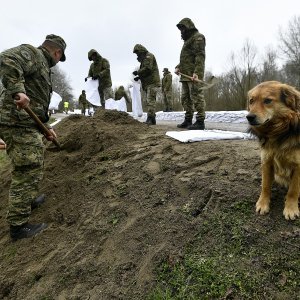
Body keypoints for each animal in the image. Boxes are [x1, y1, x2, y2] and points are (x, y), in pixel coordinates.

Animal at [246, 81, 300, 219]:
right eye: (251, 101)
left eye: (267, 100)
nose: (249, 117)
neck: (278, 131)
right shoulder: (266, 161)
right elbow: (265, 185)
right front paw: (262, 204)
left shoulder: (298, 165)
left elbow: (293, 190)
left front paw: (291, 208)